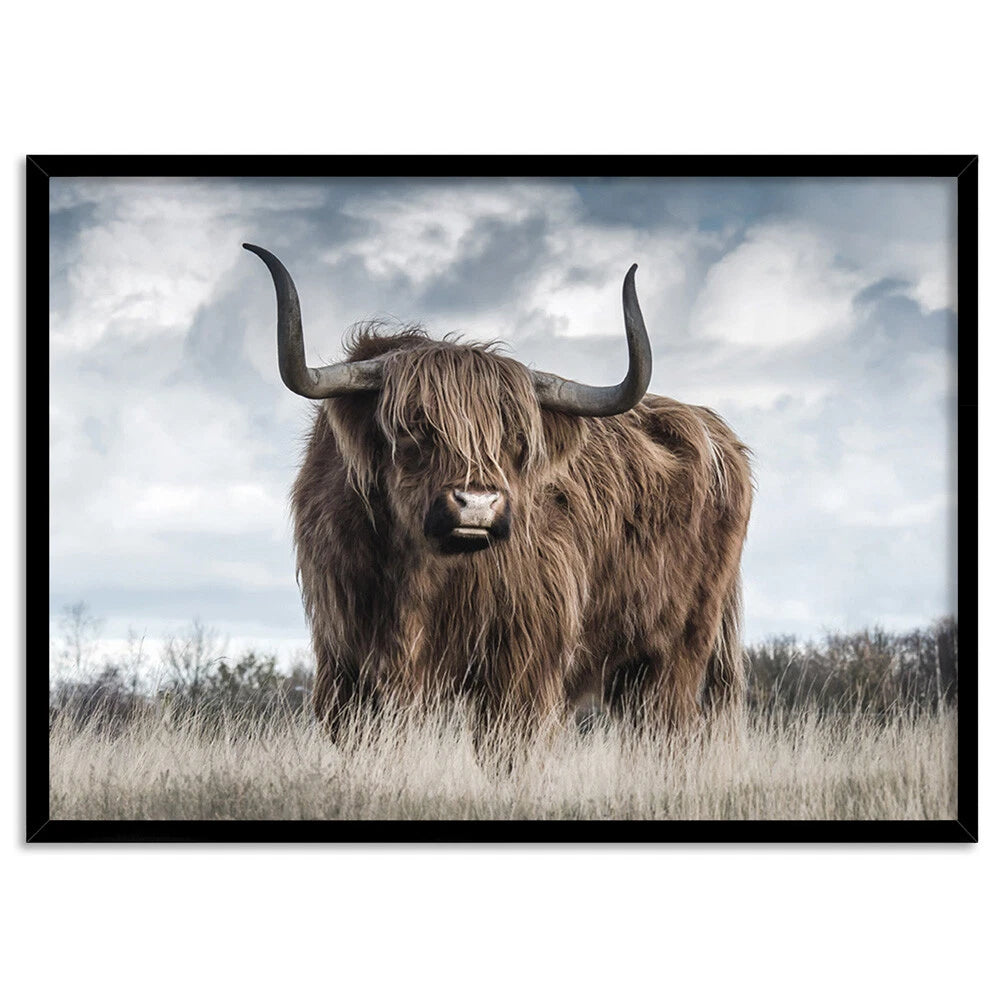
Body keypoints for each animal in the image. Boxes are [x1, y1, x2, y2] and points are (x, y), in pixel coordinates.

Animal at [244, 243, 753, 741]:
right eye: (413, 428)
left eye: (517, 439)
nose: (478, 505)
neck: (419, 577)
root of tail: (715, 430)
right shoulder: (346, 663)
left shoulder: (522, 664)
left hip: (676, 654)